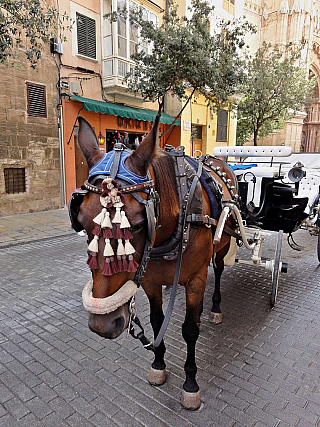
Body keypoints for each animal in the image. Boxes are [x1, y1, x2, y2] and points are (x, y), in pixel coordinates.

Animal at [70, 113, 239, 412]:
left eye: (138, 224)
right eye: (81, 221)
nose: (103, 325)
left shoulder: (195, 279)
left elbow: (189, 331)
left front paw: (191, 384)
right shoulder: (150, 281)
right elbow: (158, 322)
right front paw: (159, 364)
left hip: (222, 246)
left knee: (217, 271)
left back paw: (214, 308)